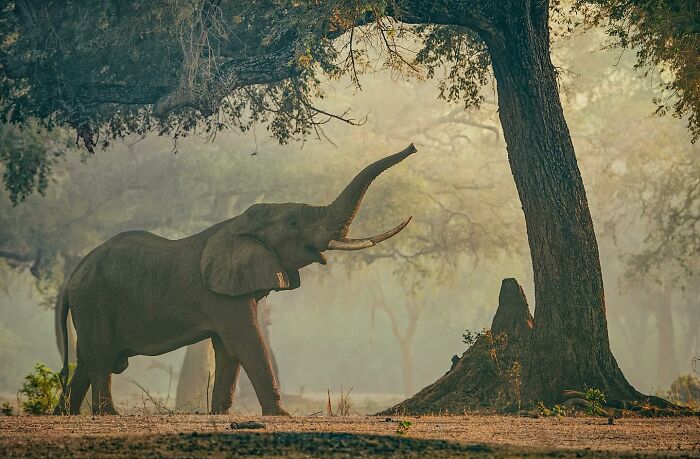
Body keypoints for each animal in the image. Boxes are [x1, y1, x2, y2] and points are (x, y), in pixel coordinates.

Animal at [54, 144, 417, 415]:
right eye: (293, 224)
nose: (413, 147)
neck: (238, 222)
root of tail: (70, 280)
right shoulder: (221, 296)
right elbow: (245, 340)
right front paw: (281, 416)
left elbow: (227, 349)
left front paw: (218, 414)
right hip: (96, 301)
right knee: (100, 357)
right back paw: (108, 415)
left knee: (85, 360)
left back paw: (64, 414)